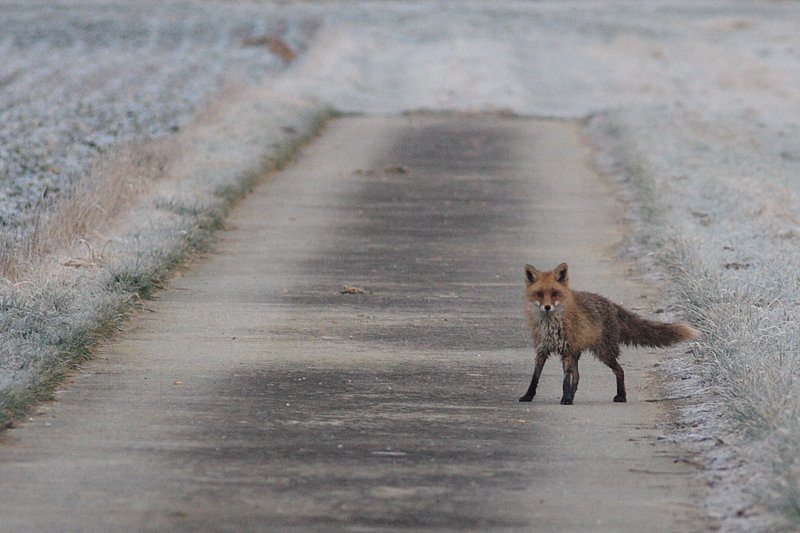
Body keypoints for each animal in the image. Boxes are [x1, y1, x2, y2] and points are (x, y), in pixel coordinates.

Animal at [520, 262, 698, 405]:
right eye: (539, 294)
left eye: (555, 293)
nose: (547, 307)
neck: (550, 325)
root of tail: (610, 303)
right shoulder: (542, 349)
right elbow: (535, 377)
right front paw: (528, 396)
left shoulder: (566, 351)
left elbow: (565, 381)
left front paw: (565, 399)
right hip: (582, 353)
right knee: (577, 377)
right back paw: (574, 397)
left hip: (603, 352)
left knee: (620, 370)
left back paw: (621, 396)